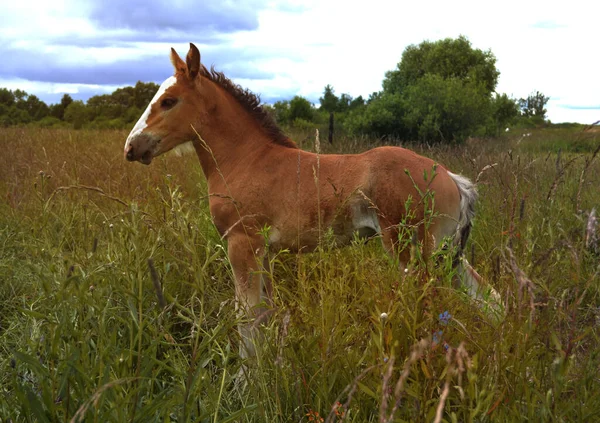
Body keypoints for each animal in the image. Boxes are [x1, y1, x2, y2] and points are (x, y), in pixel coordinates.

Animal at [123, 43, 496, 356]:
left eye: (168, 101)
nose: (131, 147)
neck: (247, 159)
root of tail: (453, 179)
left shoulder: (242, 244)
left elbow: (247, 318)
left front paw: (247, 382)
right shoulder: (265, 252)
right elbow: (265, 314)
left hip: (411, 253)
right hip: (447, 253)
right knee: (489, 297)